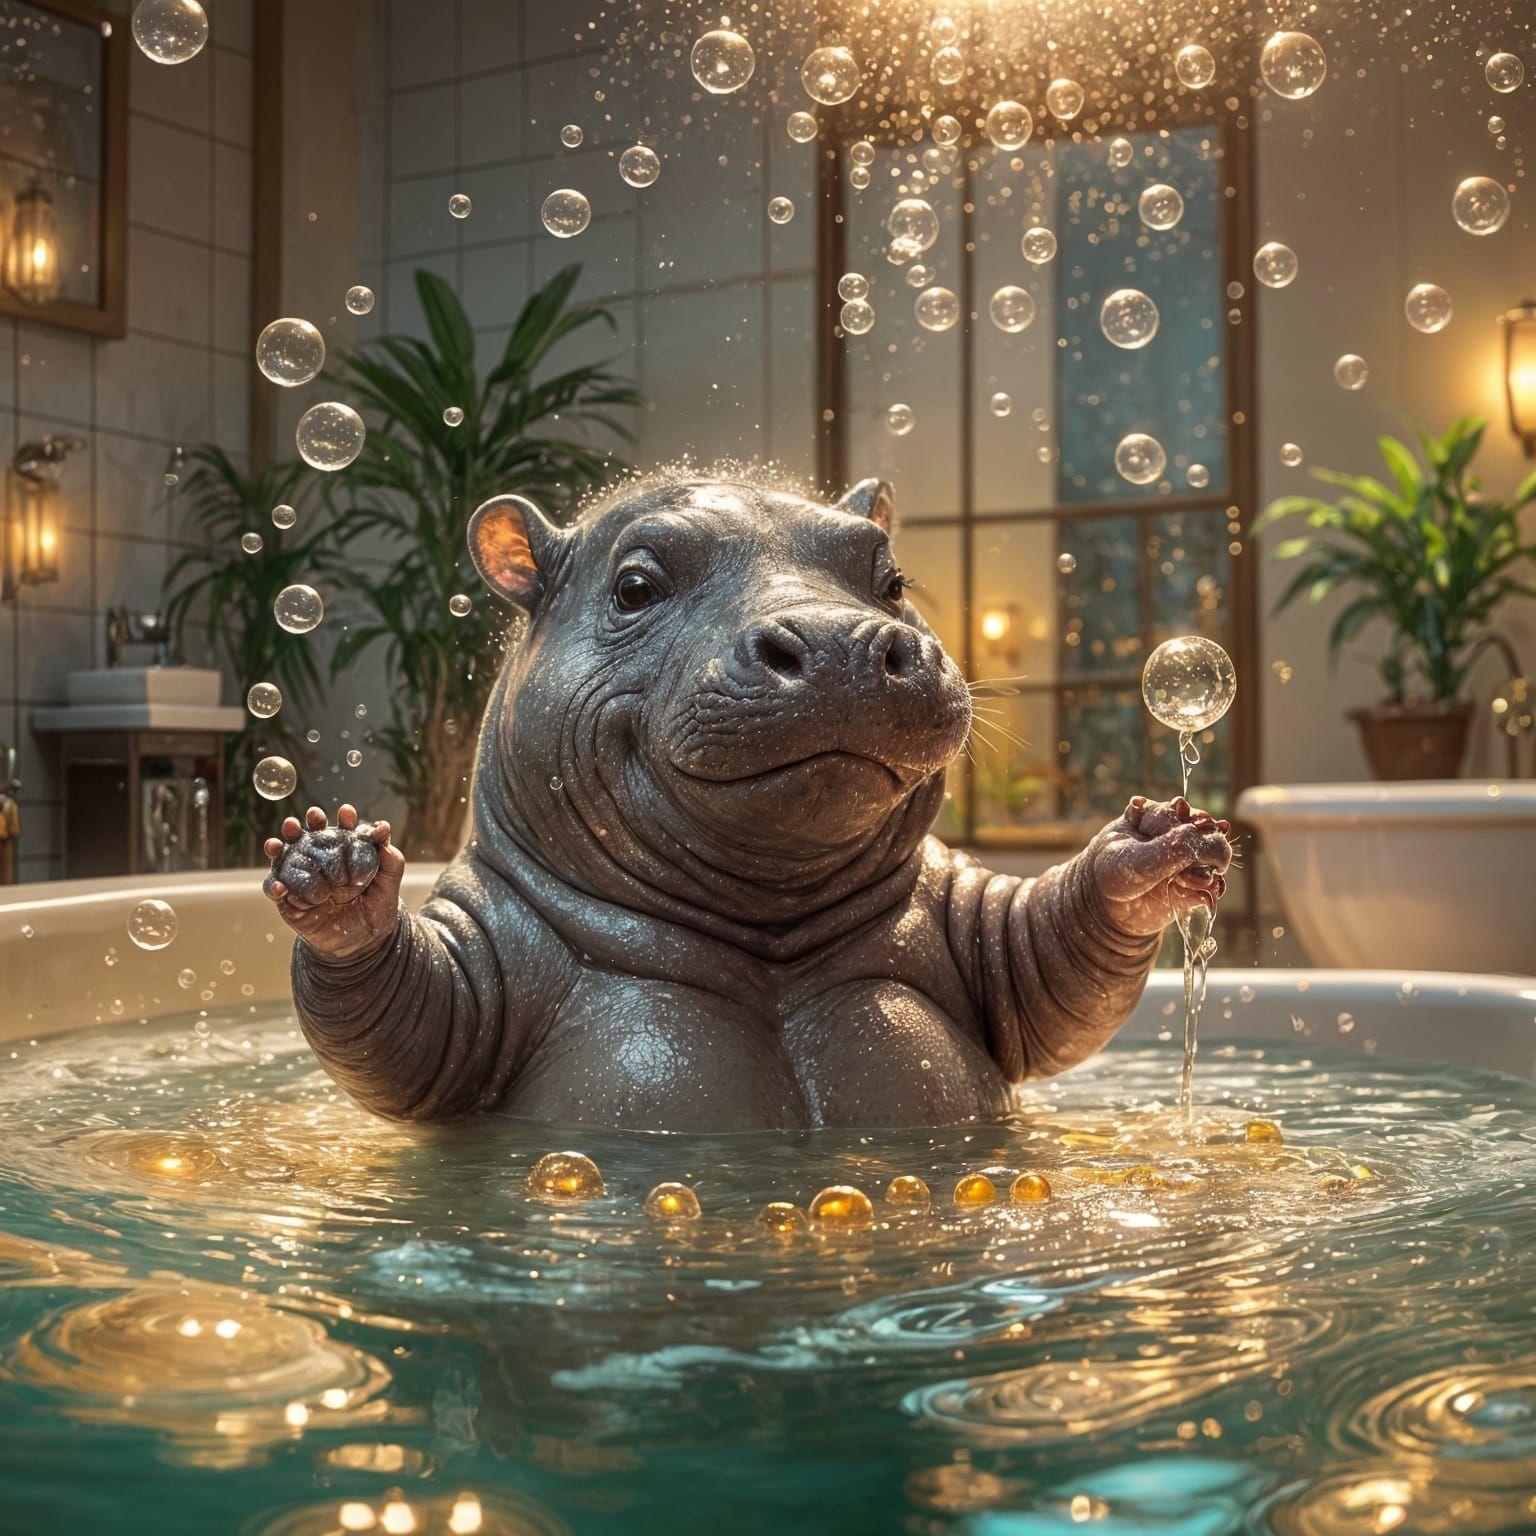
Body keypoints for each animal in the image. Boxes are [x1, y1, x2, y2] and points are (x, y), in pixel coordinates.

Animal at [263, 474, 1231, 1131]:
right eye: (634, 586)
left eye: (891, 579)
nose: (843, 644)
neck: (770, 933)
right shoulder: (488, 951)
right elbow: (410, 1025)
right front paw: (333, 871)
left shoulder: (971, 923)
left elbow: (1051, 964)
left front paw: (1157, 846)